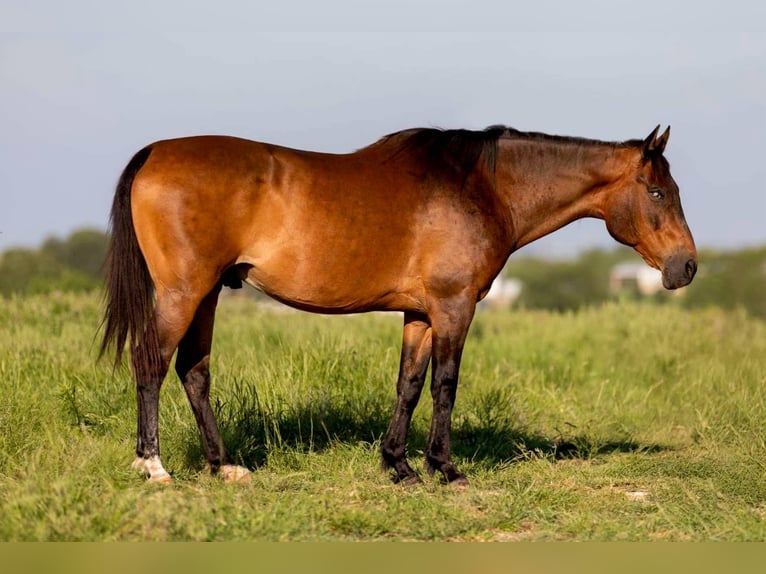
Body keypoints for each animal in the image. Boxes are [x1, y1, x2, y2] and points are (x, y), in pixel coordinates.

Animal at [101, 124, 697, 485]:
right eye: (658, 193)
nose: (686, 266)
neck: (483, 188)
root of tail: (155, 152)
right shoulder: (455, 307)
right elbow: (444, 384)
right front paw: (445, 467)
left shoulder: (421, 313)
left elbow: (408, 384)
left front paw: (399, 466)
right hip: (183, 292)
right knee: (151, 364)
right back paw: (153, 465)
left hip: (207, 295)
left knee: (193, 370)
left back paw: (223, 467)